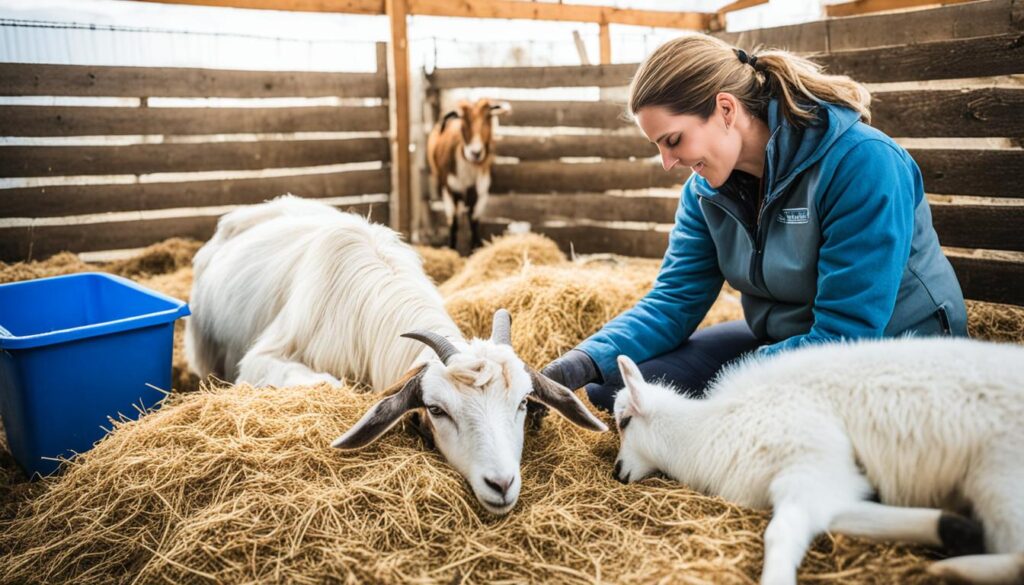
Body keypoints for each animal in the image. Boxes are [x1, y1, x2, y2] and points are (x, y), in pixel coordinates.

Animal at [423, 96, 507, 252]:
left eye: (488, 117)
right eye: (463, 120)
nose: (475, 152)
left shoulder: (481, 193)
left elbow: (474, 222)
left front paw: (476, 249)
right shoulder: (449, 189)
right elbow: (453, 223)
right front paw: (451, 249)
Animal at [610, 336, 1019, 581]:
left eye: (625, 421)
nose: (616, 473)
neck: (701, 430)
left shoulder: (808, 462)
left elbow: (780, 534)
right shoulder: (829, 479)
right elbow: (851, 517)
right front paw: (955, 528)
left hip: (998, 479)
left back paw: (957, 569)